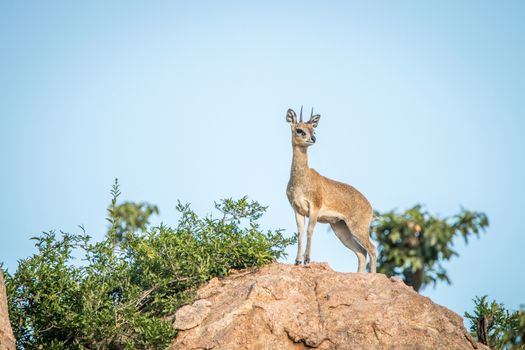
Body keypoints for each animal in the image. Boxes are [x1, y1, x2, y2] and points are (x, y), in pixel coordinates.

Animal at [284, 106, 374, 274]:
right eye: (299, 130)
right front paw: (297, 261)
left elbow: (309, 231)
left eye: (313, 130)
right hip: (340, 228)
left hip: (358, 228)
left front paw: (307, 260)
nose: (313, 139)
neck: (301, 180)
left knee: (372, 248)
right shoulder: (297, 209)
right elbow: (300, 233)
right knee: (362, 252)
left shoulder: (314, 208)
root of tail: (370, 207)